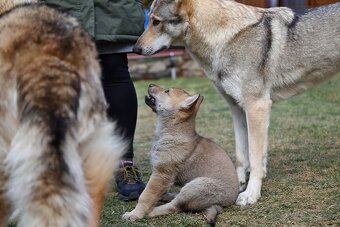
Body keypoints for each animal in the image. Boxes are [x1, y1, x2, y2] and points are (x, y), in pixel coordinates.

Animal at [123, 84, 239, 226]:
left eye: (167, 91)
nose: (150, 84)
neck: (172, 132)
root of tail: (224, 204)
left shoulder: (161, 174)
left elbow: (145, 196)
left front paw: (135, 214)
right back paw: (167, 196)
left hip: (195, 187)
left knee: (176, 207)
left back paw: (151, 211)